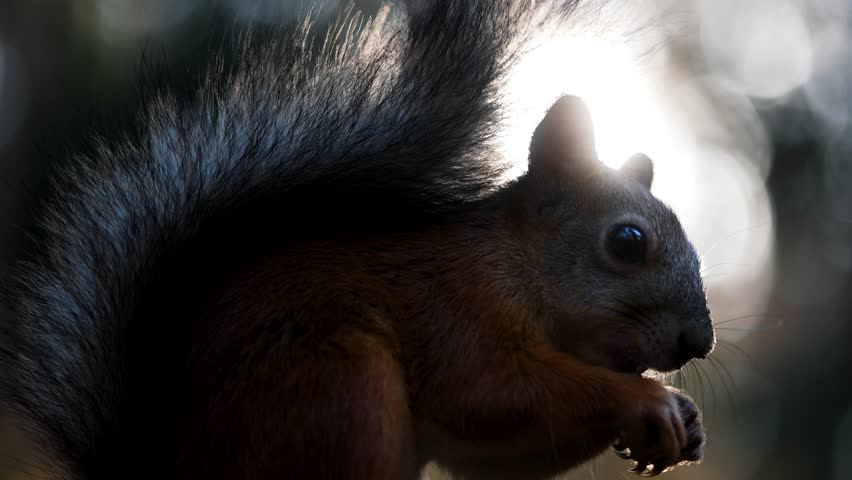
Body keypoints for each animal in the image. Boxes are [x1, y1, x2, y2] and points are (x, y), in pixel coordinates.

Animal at [0, 0, 715, 479]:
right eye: (627, 241)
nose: (698, 342)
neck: (516, 265)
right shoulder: (455, 310)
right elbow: (489, 394)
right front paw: (647, 398)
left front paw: (681, 423)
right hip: (338, 386)